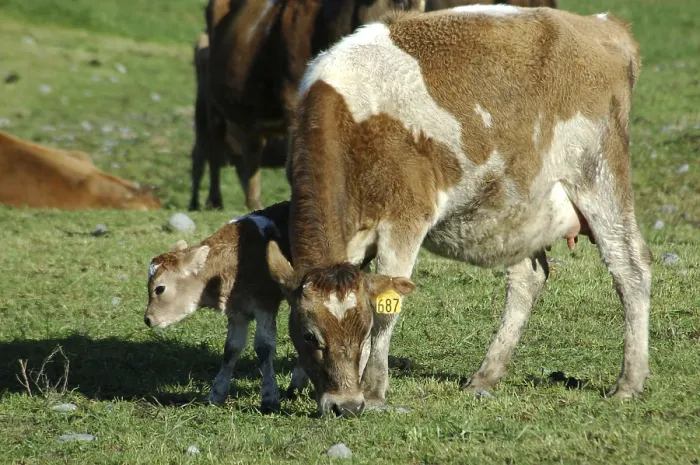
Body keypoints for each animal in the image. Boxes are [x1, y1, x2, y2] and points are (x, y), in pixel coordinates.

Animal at [144, 201, 308, 411]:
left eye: (160, 288)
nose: (148, 319)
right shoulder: (236, 311)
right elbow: (231, 348)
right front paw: (217, 393)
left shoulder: (266, 303)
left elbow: (264, 347)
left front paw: (269, 397)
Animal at [194, 0, 426, 212]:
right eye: (400, 2)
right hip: (210, 105)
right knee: (212, 150)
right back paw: (214, 201)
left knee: (251, 151)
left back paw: (254, 203)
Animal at [265, 5, 651, 417]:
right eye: (309, 335)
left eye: (363, 328)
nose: (344, 406)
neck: (351, 120)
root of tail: (603, 25)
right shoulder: (351, 240)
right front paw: (303, 383)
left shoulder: (406, 219)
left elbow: (388, 309)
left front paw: (373, 389)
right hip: (520, 204)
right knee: (528, 278)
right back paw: (485, 376)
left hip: (598, 175)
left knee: (630, 267)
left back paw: (629, 382)